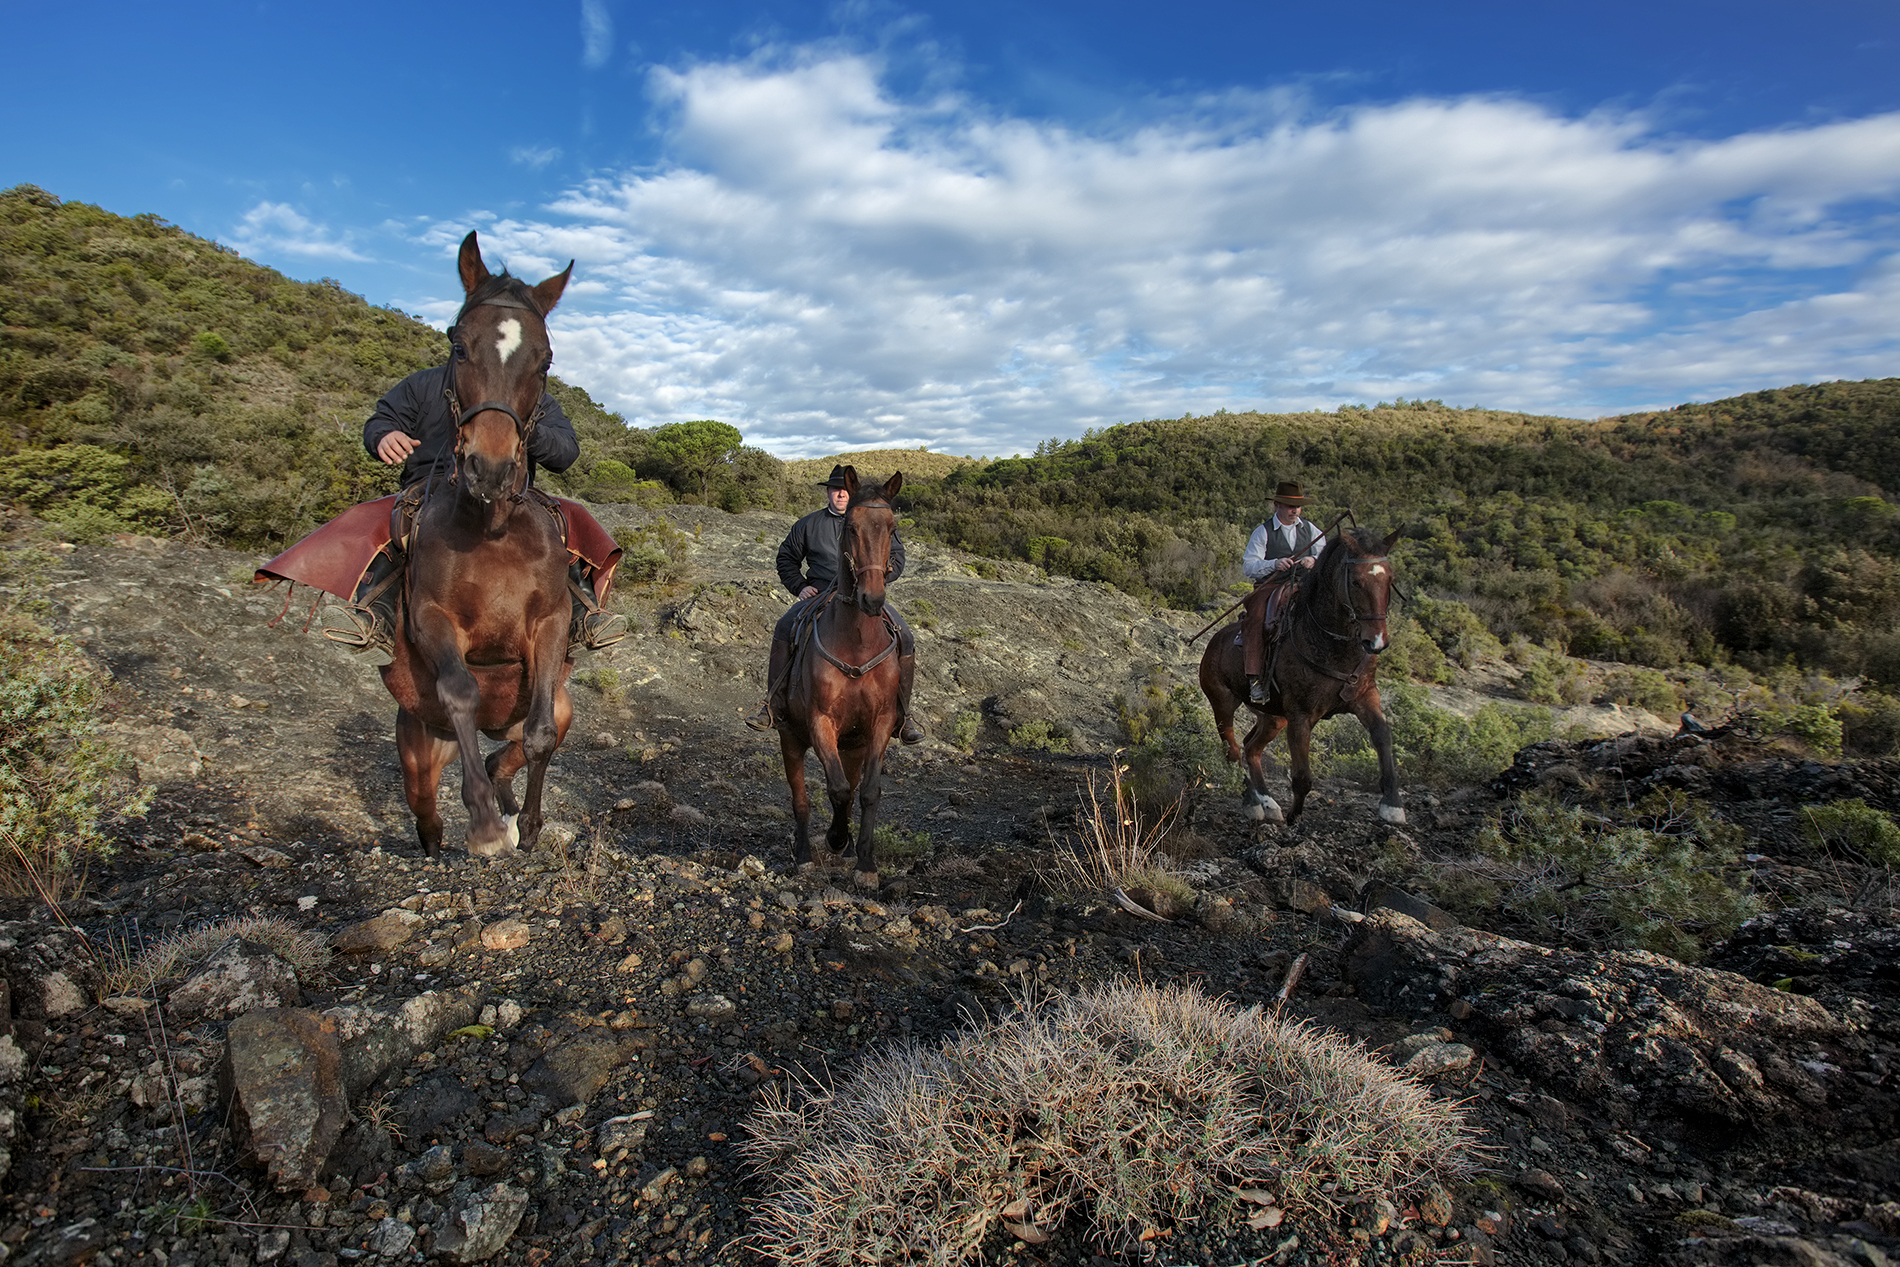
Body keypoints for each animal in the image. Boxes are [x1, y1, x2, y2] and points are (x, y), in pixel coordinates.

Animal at [376, 232, 570, 858]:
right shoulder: (433, 619)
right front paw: (484, 822)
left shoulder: (550, 622)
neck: (494, 530)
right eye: (458, 346)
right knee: (427, 814)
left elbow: (537, 736)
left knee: (502, 750)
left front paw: (528, 826)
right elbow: (460, 689)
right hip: (416, 746)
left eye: (545, 359)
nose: (490, 466)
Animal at [779, 469, 912, 892]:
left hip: (853, 746)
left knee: (852, 790)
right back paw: (805, 855)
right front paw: (836, 839)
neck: (856, 640)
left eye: (892, 528)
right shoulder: (821, 722)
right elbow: (835, 790)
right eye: (851, 527)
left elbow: (866, 792)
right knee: (801, 799)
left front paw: (865, 862)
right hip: (790, 738)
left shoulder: (881, 724)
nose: (872, 598)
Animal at [1200, 524, 1413, 828]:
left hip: (1273, 717)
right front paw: (1294, 817)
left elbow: (1382, 735)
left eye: (1390, 580)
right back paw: (1252, 802)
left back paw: (1268, 802)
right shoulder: (1301, 715)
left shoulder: (1365, 695)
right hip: (1223, 704)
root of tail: (1213, 642)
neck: (1332, 645)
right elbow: (1302, 776)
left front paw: (1392, 805)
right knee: (1232, 750)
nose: (1377, 642)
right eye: (1356, 582)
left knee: (1252, 748)